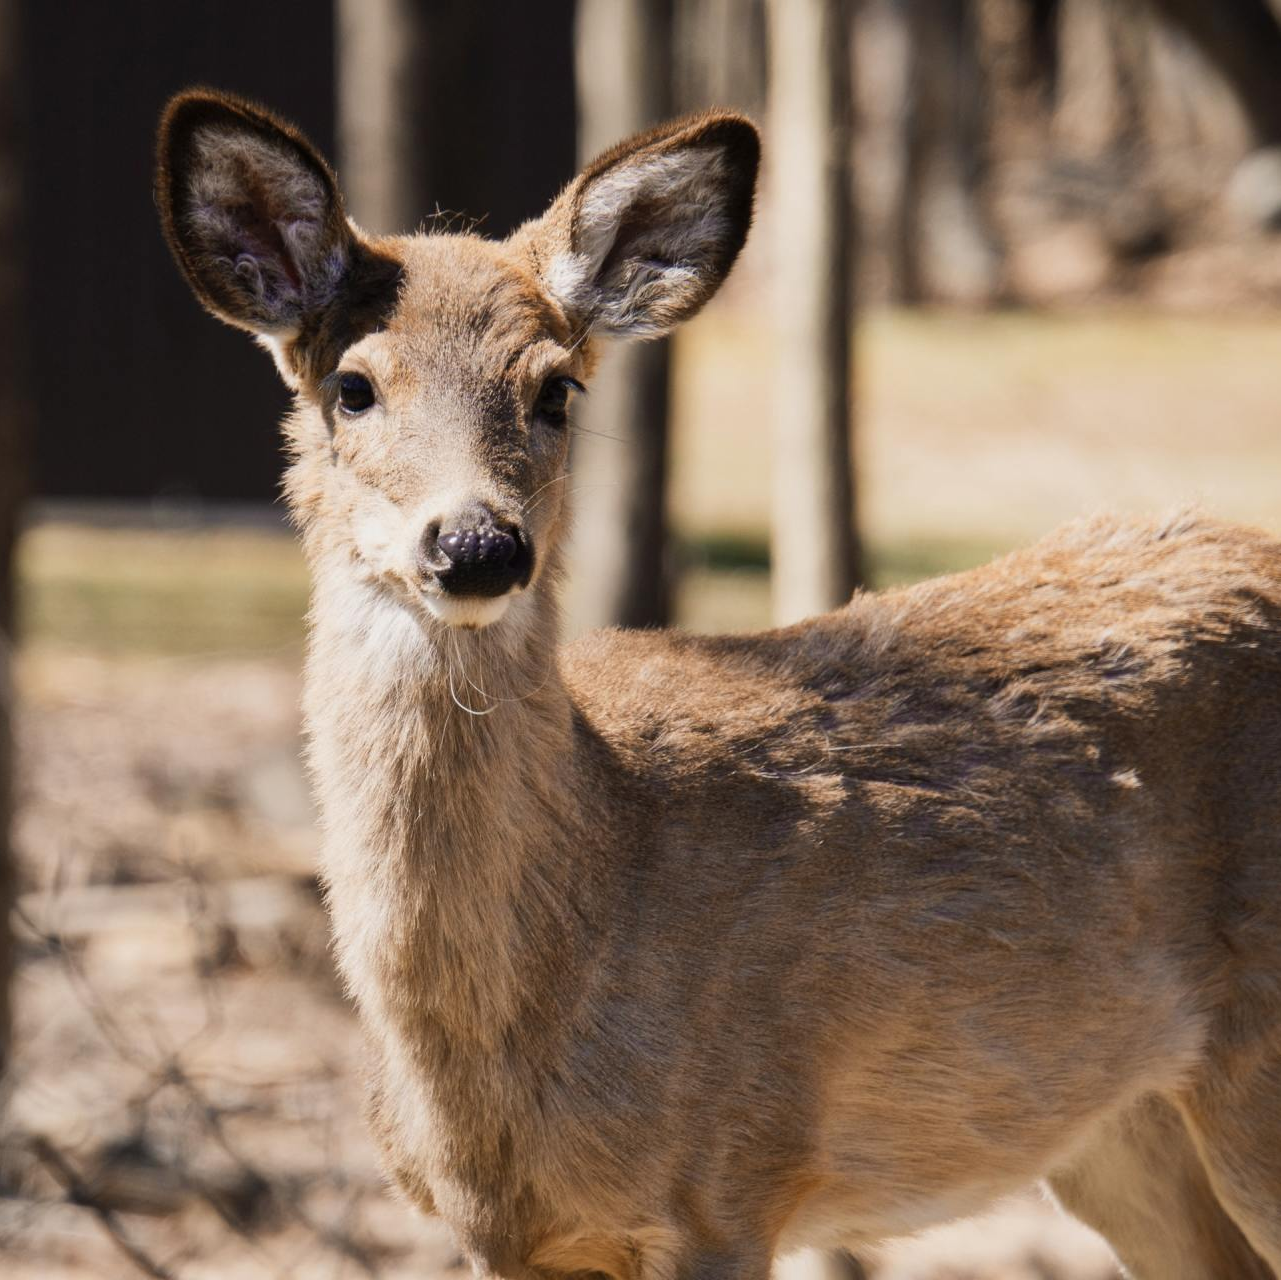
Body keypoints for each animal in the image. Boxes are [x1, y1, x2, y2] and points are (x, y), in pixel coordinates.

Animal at [154, 89, 1281, 1280]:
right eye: (353, 387)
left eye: (556, 388)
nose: (477, 544)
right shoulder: (501, 1232)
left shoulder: (730, 1171)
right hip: (1119, 1127)